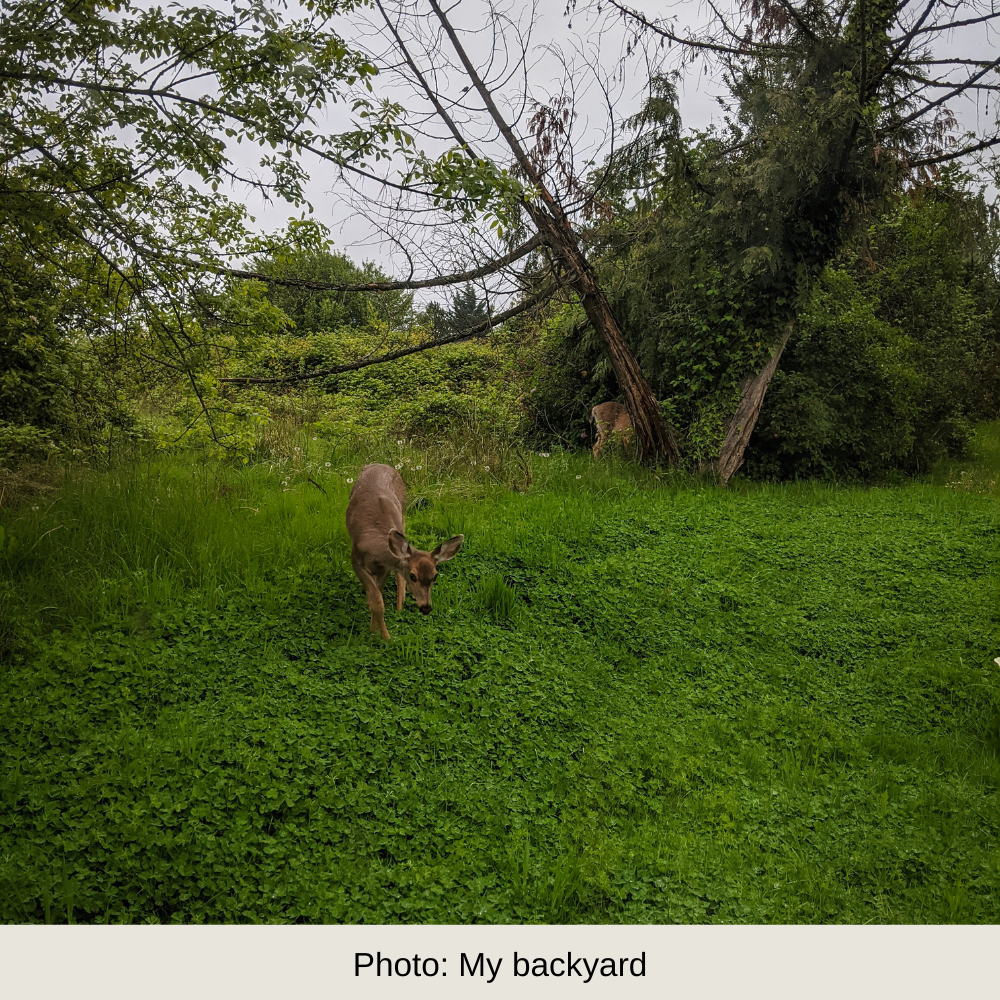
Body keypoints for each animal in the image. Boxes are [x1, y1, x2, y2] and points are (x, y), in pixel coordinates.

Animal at [345, 463, 464, 641]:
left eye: (435, 576)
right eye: (413, 576)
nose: (426, 607)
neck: (374, 546)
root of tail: (379, 464)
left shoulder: (385, 567)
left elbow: (378, 594)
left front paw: (376, 630)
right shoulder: (355, 558)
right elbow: (376, 600)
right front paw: (383, 636)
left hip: (403, 514)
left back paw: (400, 604)